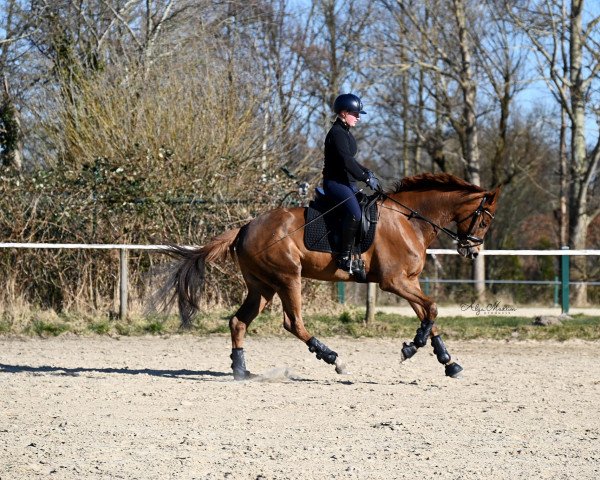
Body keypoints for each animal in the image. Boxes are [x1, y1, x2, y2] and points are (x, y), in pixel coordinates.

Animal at [157, 172, 500, 378]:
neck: (409, 220)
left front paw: (447, 361)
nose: (472, 251)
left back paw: (242, 370)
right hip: (288, 278)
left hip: (263, 286)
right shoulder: (394, 282)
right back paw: (334, 358)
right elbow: (432, 309)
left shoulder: (410, 281)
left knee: (238, 321)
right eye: (484, 221)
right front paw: (412, 346)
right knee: (292, 323)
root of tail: (244, 227)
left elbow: (429, 314)